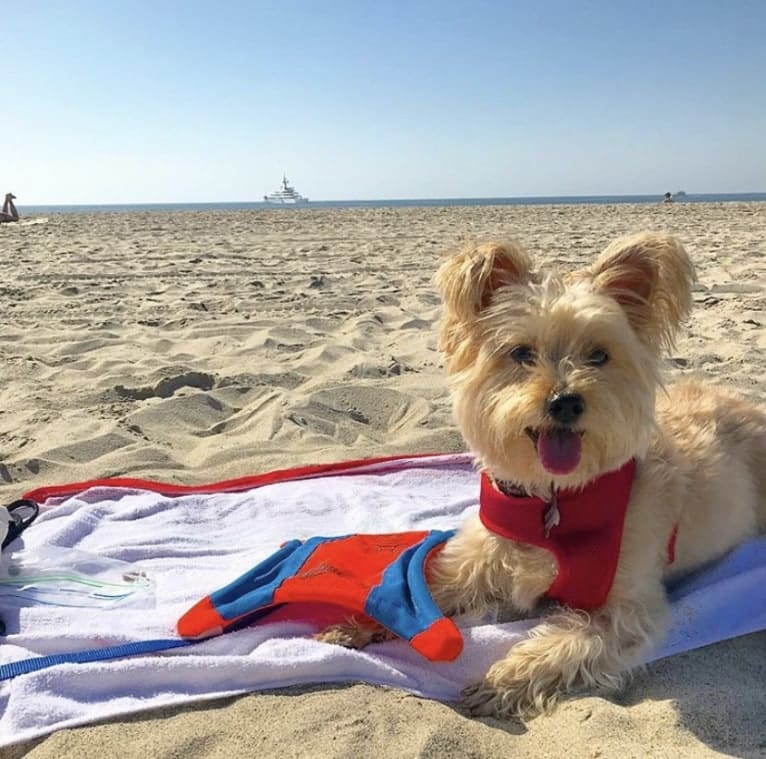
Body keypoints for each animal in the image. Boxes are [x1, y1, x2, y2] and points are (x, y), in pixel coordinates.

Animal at [316, 235, 764, 720]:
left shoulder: (628, 608)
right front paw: (357, 625)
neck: (554, 501)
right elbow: (426, 589)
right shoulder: (478, 559)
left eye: (599, 355)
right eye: (521, 353)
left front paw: (502, 682)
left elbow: (566, 643)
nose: (565, 401)